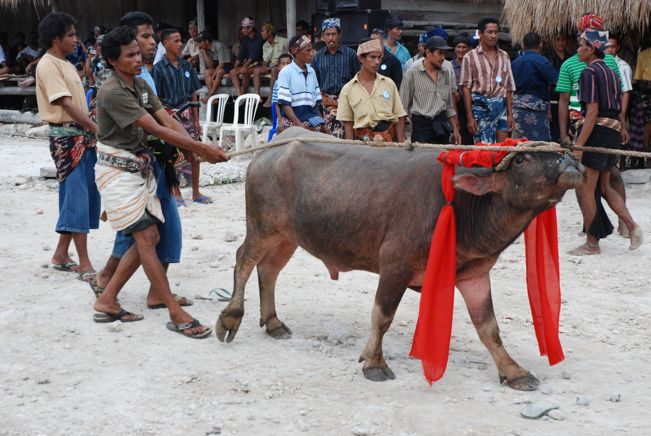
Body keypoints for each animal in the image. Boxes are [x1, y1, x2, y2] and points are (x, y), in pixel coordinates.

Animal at [215, 127, 584, 390]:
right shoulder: (395, 264)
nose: (567, 160)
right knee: (243, 262)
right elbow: (382, 316)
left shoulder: (474, 275)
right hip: (262, 226)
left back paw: (273, 322)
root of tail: (276, 145)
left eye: (559, 153)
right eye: (521, 160)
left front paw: (514, 371)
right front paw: (374, 363)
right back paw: (231, 317)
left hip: (287, 236)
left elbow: (489, 328)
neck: (463, 206)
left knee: (269, 270)